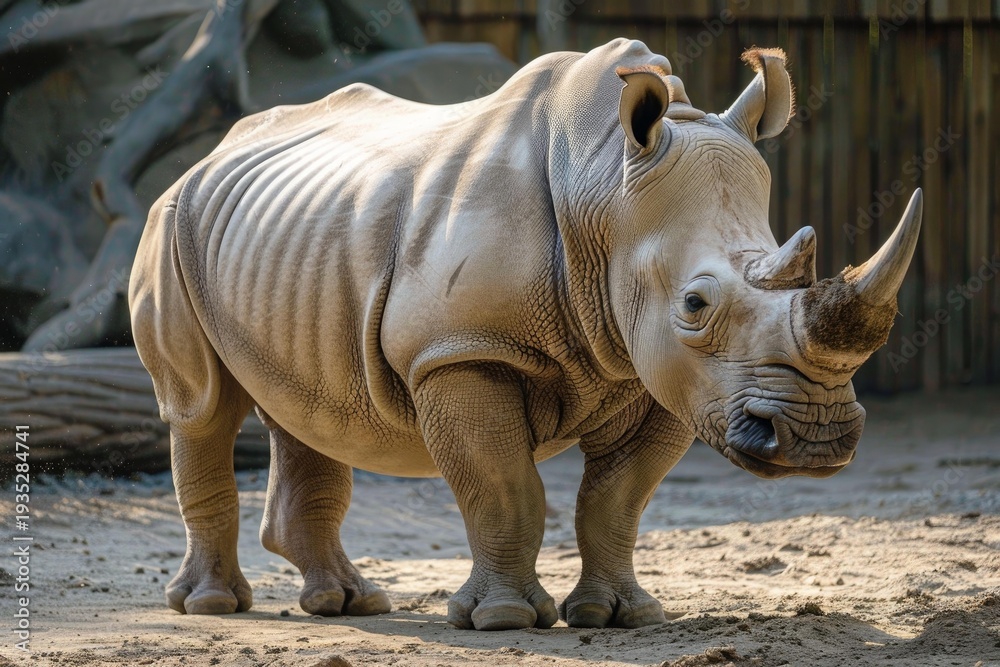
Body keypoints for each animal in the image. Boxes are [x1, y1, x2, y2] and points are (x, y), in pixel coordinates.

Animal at [129, 38, 922, 631]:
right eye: (696, 304)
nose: (816, 438)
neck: (603, 189)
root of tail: (208, 156)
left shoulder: (660, 373)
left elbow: (617, 499)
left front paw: (622, 616)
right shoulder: (460, 352)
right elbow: (504, 485)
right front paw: (504, 619)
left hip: (293, 245)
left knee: (308, 407)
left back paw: (348, 602)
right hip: (170, 224)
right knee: (202, 407)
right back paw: (214, 605)